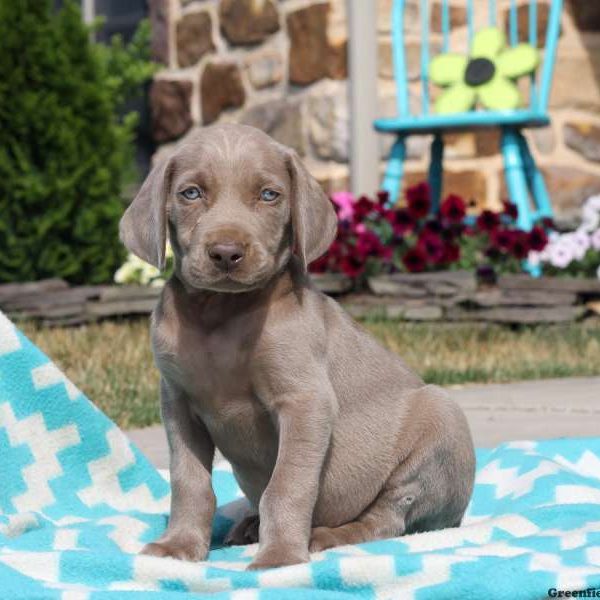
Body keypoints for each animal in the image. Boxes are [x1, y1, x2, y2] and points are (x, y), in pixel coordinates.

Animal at [119, 123, 476, 568]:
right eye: (191, 193)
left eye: (269, 195)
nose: (226, 253)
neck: (220, 314)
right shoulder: (178, 404)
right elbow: (189, 482)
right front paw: (178, 545)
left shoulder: (304, 401)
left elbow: (286, 485)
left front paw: (280, 556)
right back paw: (249, 525)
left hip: (440, 418)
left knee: (386, 519)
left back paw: (327, 535)